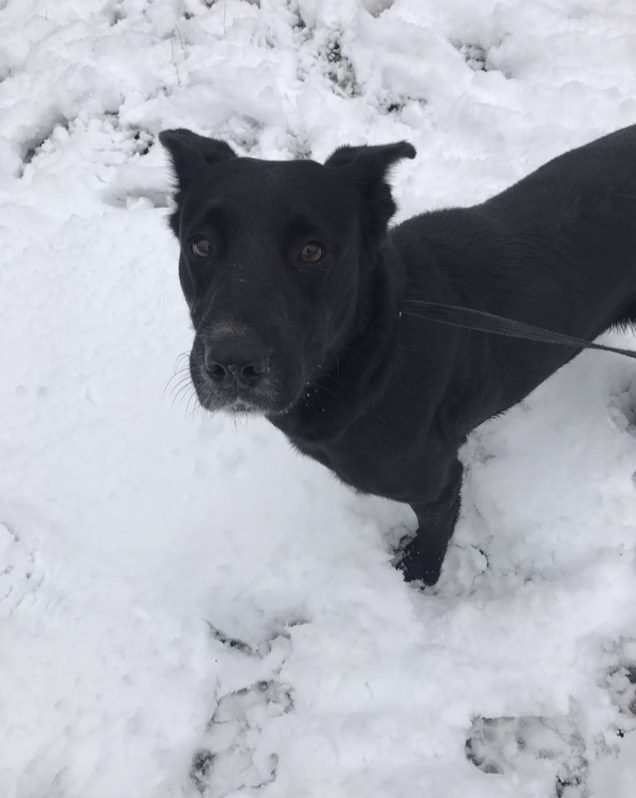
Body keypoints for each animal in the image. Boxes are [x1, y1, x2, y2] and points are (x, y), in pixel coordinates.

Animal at [161, 126, 636, 588]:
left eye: (312, 251)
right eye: (201, 246)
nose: (231, 365)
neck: (379, 342)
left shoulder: (436, 481)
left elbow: (435, 528)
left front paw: (421, 573)